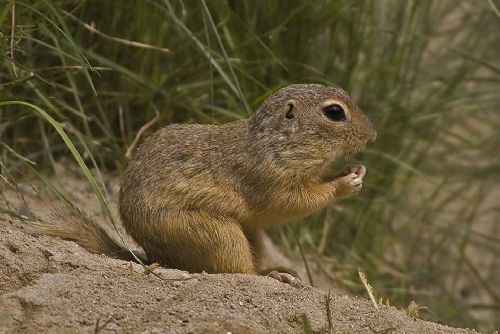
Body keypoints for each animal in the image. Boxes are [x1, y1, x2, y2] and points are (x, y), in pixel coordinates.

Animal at [40, 84, 376, 288]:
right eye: (334, 112)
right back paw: (277, 275)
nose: (373, 133)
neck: (274, 142)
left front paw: (355, 170)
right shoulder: (272, 182)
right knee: (240, 272)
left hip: (250, 235)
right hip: (220, 234)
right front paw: (347, 182)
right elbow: (295, 202)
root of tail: (152, 257)